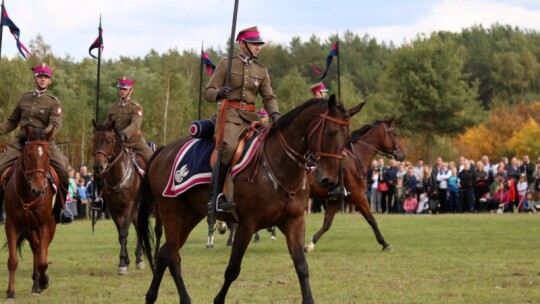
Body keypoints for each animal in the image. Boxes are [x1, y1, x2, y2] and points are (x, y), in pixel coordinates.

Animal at [3, 126, 57, 300]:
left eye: (48, 155)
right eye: (28, 154)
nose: (38, 190)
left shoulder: (45, 225)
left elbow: (43, 260)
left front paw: (44, 281)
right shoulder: (12, 225)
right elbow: (13, 260)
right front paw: (10, 292)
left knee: (40, 251)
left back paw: (38, 283)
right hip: (27, 229)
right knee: (36, 248)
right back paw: (35, 284)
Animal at [92, 120, 144, 274]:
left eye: (109, 141)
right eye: (94, 140)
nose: (98, 167)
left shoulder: (129, 206)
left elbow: (124, 232)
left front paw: (122, 263)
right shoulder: (114, 209)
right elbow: (121, 234)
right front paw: (125, 261)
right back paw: (139, 258)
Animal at [138, 95, 362, 304]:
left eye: (347, 138)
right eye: (331, 132)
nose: (330, 180)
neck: (278, 165)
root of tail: (163, 152)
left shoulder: (294, 222)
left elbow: (301, 265)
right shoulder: (247, 225)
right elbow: (232, 269)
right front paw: (218, 299)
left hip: (190, 215)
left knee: (165, 253)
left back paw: (150, 296)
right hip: (171, 211)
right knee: (173, 256)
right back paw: (184, 298)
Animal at [306, 117, 408, 253]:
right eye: (395, 134)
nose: (403, 154)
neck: (356, 159)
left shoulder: (335, 199)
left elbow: (327, 223)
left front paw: (311, 244)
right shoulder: (358, 196)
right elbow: (372, 220)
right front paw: (384, 243)